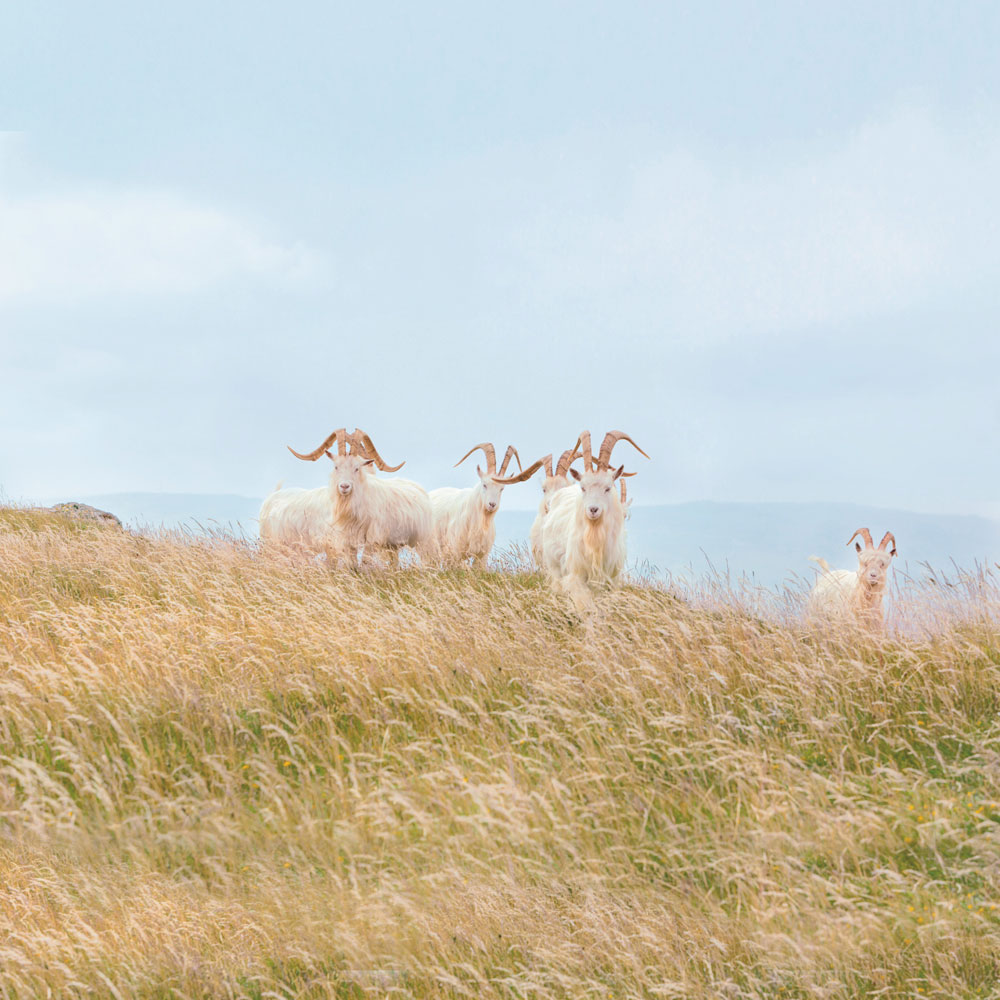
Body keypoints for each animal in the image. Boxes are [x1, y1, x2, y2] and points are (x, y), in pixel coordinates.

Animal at [540, 426, 648, 604]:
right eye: (583, 488)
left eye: (608, 488)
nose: (593, 509)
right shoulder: (577, 576)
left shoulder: (612, 579)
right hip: (554, 567)